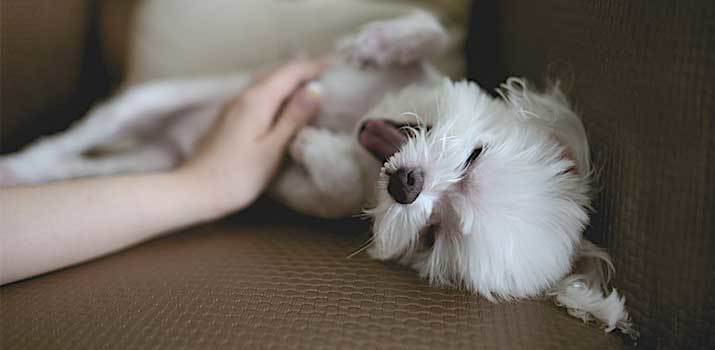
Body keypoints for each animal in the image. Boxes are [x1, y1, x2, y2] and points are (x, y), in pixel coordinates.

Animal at [1, 10, 636, 336]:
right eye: (475, 155)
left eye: (436, 234)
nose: (407, 186)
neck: (365, 119)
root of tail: (168, 142)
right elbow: (427, 29)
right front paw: (377, 42)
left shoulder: (315, 194)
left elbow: (328, 186)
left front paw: (313, 145)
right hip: (151, 102)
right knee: (88, 132)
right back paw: (21, 162)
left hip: (152, 161)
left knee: (82, 164)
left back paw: (27, 173)